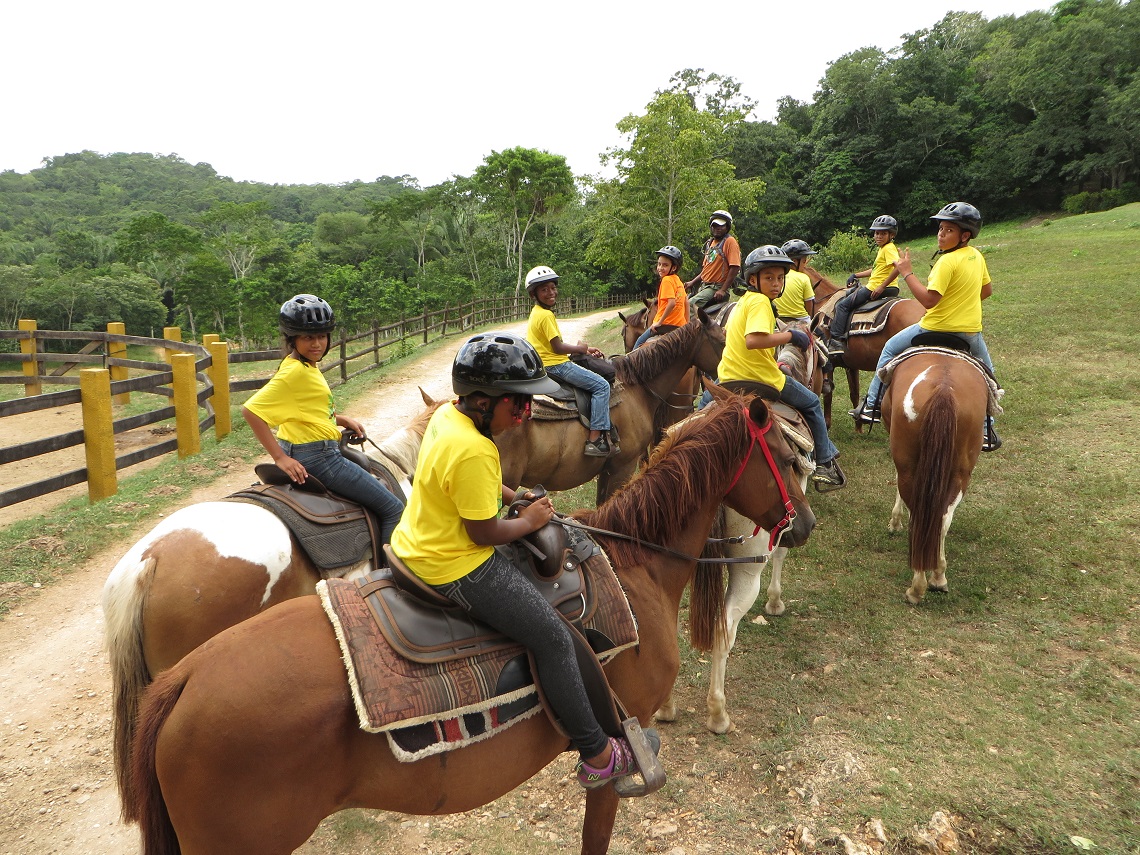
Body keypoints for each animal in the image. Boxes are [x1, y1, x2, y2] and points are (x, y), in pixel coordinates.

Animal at [880, 351, 989, 606]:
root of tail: (944, 389)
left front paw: (895, 521)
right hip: (961, 471)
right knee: (943, 516)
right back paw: (938, 577)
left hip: (909, 464)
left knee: (920, 514)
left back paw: (917, 587)